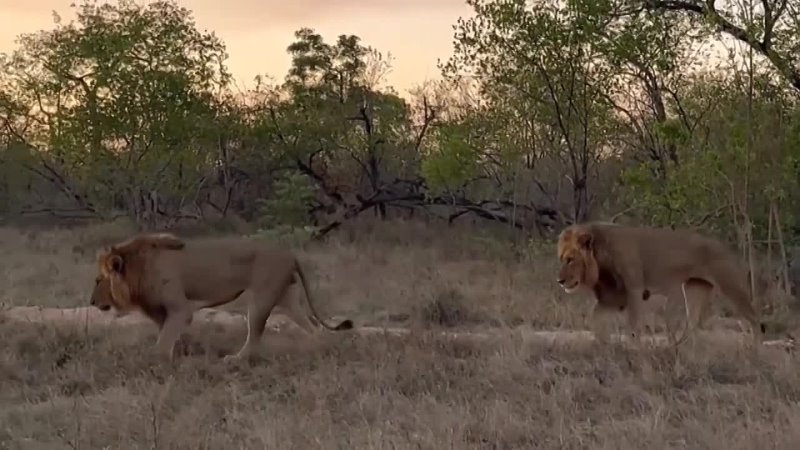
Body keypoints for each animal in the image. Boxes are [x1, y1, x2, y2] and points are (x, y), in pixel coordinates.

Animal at [89, 234, 352, 360]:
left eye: (98, 280)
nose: (91, 302)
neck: (138, 271)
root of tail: (290, 254)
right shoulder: (161, 312)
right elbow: (167, 337)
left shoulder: (180, 309)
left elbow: (161, 344)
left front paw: (156, 363)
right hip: (287, 299)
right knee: (313, 326)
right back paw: (318, 349)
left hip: (261, 298)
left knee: (254, 336)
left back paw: (235, 359)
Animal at [552, 223, 764, 346]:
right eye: (561, 259)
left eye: (570, 259)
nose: (559, 281)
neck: (600, 259)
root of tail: (727, 248)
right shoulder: (614, 296)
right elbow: (595, 319)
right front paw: (603, 344)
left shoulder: (634, 289)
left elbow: (633, 327)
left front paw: (634, 350)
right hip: (694, 287)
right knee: (692, 324)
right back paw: (679, 348)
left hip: (731, 286)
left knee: (755, 319)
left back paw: (754, 351)